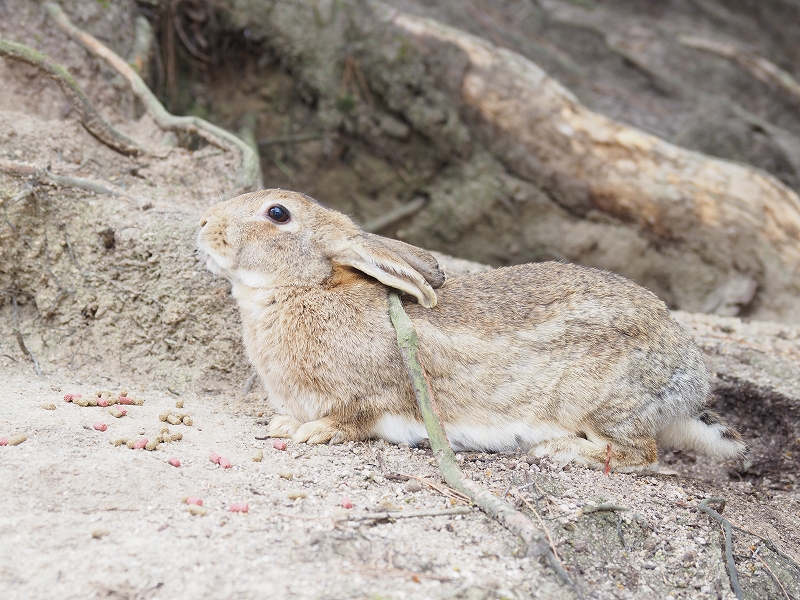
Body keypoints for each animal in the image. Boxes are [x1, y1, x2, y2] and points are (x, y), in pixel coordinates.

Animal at [198, 188, 744, 468]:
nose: (204, 225)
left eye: (277, 213)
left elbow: (351, 418)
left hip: (597, 402)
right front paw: (283, 423)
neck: (305, 288)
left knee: (640, 453)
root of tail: (690, 388)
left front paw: (309, 431)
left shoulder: (369, 393)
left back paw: (556, 449)